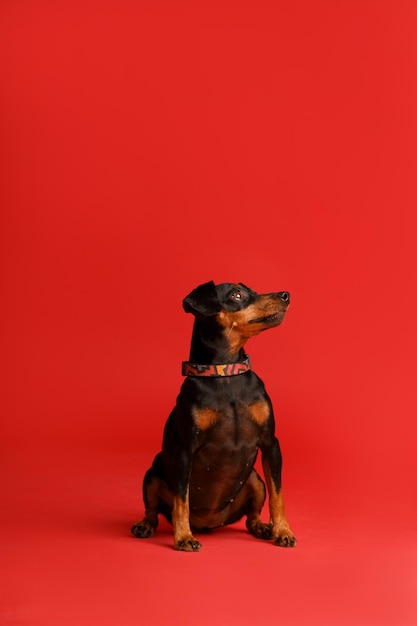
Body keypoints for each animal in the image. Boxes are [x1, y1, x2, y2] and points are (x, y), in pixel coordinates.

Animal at [131, 280, 296, 548]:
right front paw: (184, 537)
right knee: (153, 510)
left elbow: (278, 494)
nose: (285, 295)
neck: (226, 372)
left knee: (251, 516)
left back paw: (263, 527)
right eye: (237, 295)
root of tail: (209, 524)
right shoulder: (185, 450)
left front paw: (283, 531)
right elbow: (181, 501)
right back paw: (146, 525)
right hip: (153, 473)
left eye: (252, 290)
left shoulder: (271, 443)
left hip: (255, 479)